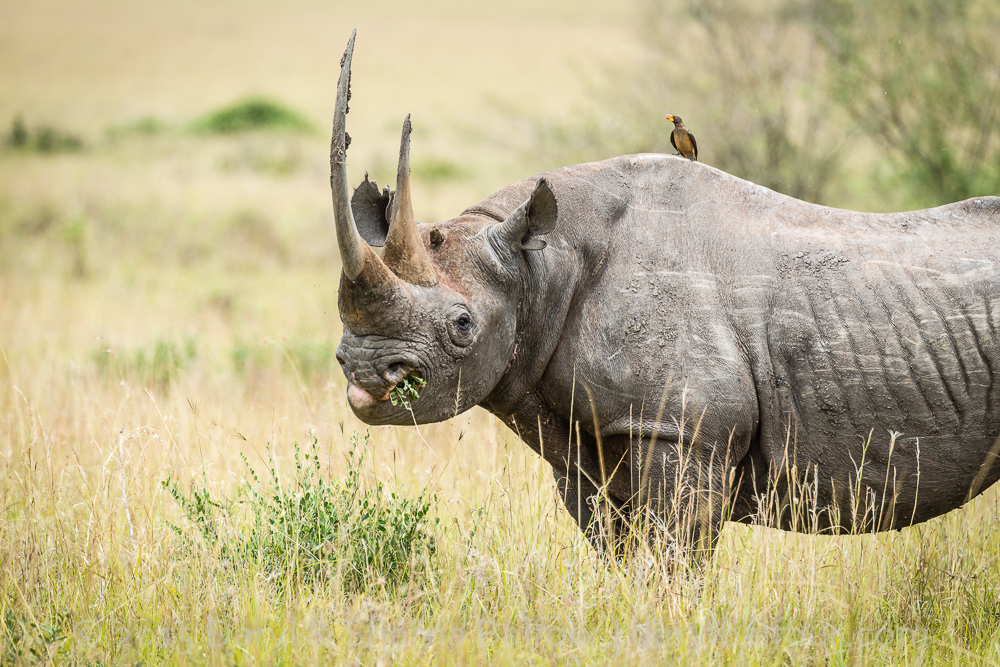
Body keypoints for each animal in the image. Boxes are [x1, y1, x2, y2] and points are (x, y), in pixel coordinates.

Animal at [332, 32, 1000, 552]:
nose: (364, 372)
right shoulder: (589, 445)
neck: (538, 267)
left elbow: (671, 559)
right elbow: (620, 555)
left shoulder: (683, 431)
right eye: (341, 343)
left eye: (463, 326)